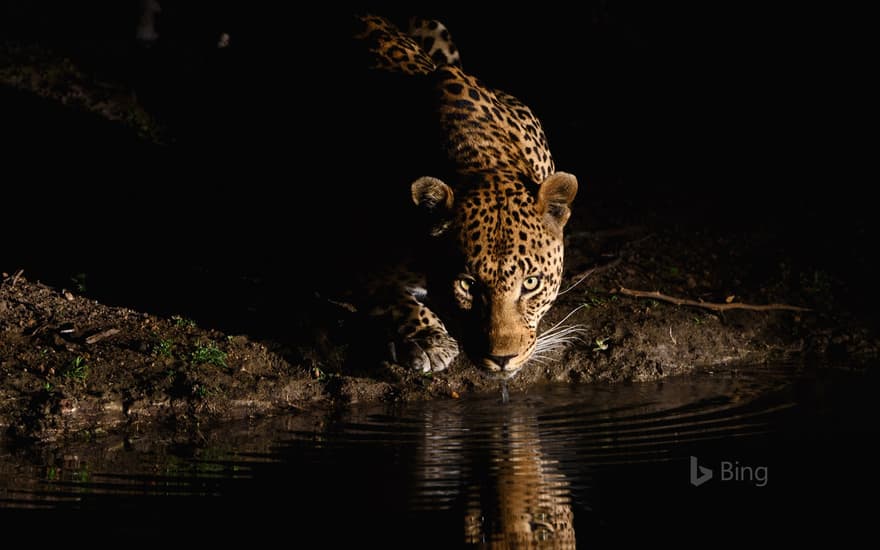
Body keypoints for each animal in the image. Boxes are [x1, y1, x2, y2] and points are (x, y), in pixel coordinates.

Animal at [348, 14, 580, 380]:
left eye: (531, 283)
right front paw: (428, 339)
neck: (478, 160)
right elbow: (388, 295)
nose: (503, 358)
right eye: (468, 285)